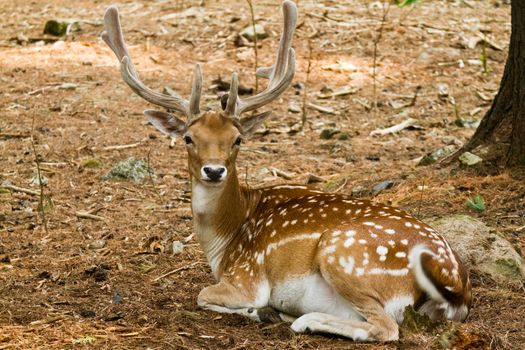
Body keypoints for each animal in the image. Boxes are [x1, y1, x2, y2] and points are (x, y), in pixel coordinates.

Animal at [101, 1, 470, 342]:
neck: (224, 241)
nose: (214, 170)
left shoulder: (246, 277)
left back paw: (301, 319)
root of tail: (454, 283)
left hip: (341, 253)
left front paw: (260, 310)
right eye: (189, 138)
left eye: (237, 139)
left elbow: (203, 295)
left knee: (386, 328)